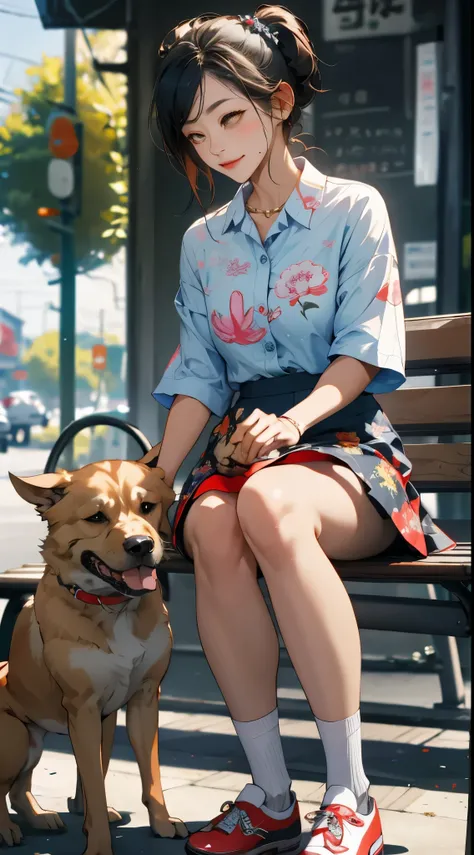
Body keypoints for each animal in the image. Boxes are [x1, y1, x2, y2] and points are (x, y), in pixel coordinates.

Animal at [0, 452, 188, 852]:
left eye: (147, 507)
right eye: (97, 517)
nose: (140, 545)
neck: (112, 606)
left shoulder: (140, 701)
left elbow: (143, 774)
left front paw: (162, 824)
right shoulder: (83, 708)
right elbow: (94, 786)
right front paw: (99, 844)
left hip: (33, 743)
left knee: (19, 789)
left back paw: (39, 818)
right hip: (14, 735)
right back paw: (7, 829)